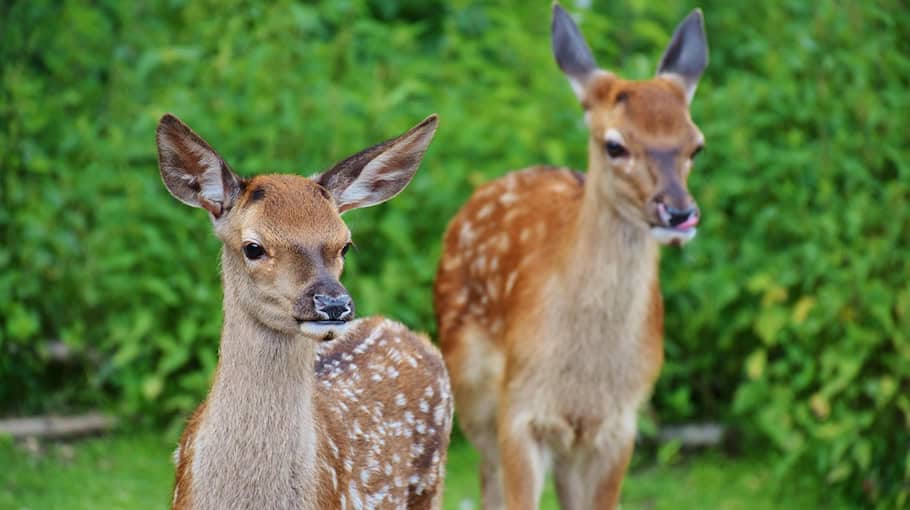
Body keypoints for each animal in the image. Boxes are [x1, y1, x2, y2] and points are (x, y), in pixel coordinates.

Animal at [433, 5, 708, 509]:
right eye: (615, 144)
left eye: (695, 144)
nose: (679, 212)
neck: (584, 376)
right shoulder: (520, 409)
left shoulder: (619, 423)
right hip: (471, 387)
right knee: (486, 475)